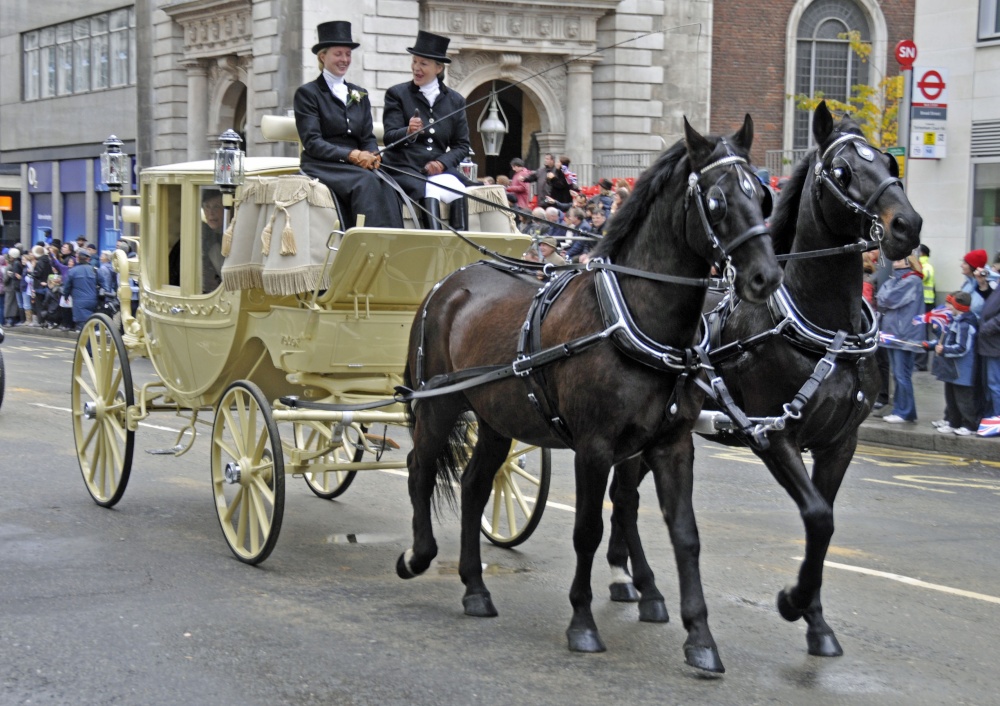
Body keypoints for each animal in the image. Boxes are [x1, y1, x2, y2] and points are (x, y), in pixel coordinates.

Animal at [396, 115, 780, 672]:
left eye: (763, 196)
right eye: (717, 201)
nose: (765, 277)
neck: (634, 317)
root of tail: (447, 285)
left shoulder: (672, 445)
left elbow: (684, 535)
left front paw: (700, 637)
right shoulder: (594, 447)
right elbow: (588, 530)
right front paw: (582, 621)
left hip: (495, 418)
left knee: (473, 485)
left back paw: (475, 587)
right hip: (439, 404)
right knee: (420, 469)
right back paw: (418, 554)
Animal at [600, 102, 920, 656]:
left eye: (889, 162)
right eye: (842, 172)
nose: (908, 224)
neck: (821, 326)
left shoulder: (840, 443)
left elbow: (824, 523)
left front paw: (816, 620)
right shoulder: (772, 433)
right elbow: (817, 517)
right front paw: (793, 603)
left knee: (627, 498)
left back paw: (632, 579)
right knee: (624, 496)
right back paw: (638, 582)